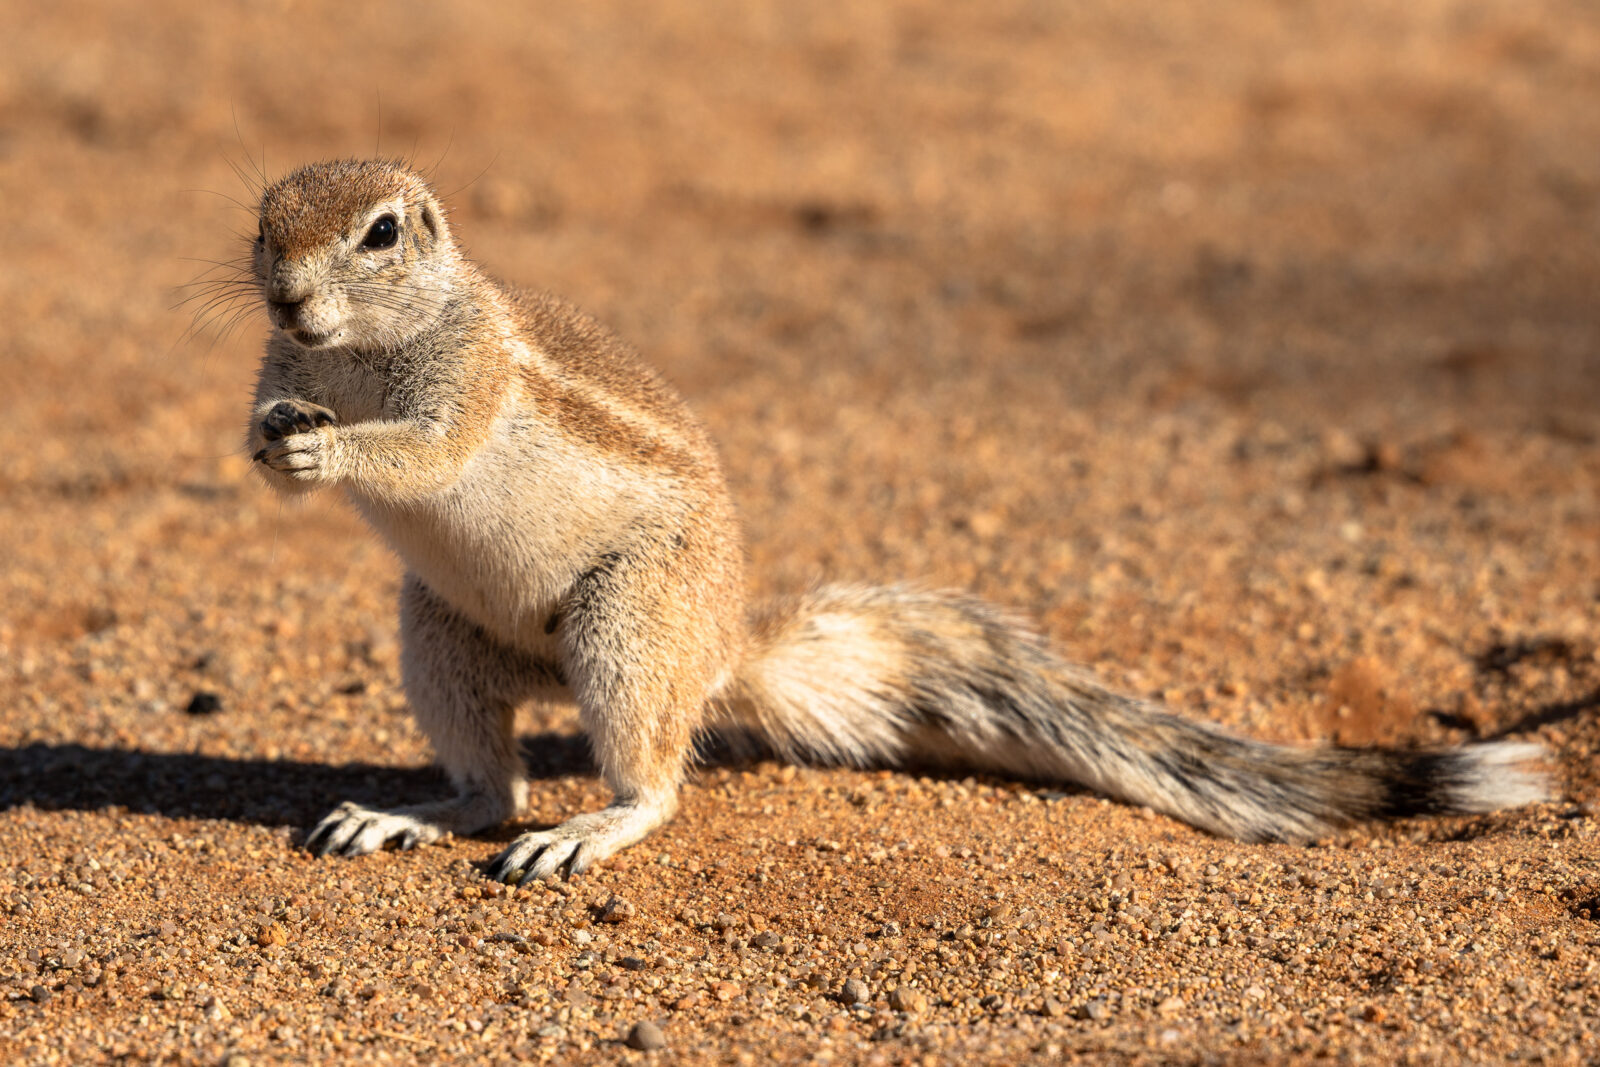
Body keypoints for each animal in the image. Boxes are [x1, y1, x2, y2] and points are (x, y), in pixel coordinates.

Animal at [244, 159, 1549, 882]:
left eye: (380, 233)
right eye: (262, 225)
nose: (288, 297)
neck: (352, 353)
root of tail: (719, 653)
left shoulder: (464, 378)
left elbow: (426, 448)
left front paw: (328, 446)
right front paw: (269, 438)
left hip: (626, 625)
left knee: (650, 785)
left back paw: (591, 829)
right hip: (441, 636)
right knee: (489, 787)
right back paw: (403, 811)